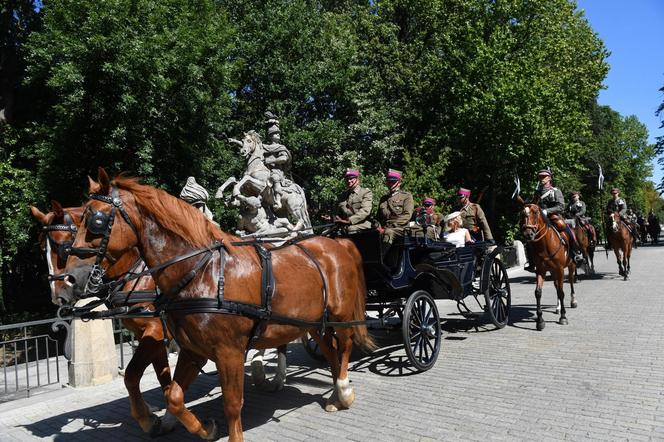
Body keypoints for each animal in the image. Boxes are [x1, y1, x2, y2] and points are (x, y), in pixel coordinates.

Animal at [29, 203, 178, 436]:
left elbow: (132, 374)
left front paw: (148, 417)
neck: (138, 275)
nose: (57, 296)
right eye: (42, 248)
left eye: (64, 248)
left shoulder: (156, 329)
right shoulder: (149, 335)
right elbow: (162, 375)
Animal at [55, 169, 374, 442]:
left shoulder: (228, 351)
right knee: (330, 350)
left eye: (96, 222)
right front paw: (203, 427)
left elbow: (232, 404)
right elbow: (172, 394)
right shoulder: (192, 349)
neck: (200, 273)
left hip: (340, 316)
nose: (68, 280)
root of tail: (338, 244)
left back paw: (344, 391)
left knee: (345, 346)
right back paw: (334, 396)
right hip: (313, 322)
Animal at [516, 199, 572, 330]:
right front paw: (540, 320)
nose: (528, 234)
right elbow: (538, 292)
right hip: (552, 271)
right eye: (521, 213)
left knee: (571, 282)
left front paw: (563, 317)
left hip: (570, 266)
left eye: (536, 212)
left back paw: (573, 301)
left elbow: (561, 292)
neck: (545, 245)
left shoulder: (560, 269)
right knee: (556, 285)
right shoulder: (541, 270)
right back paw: (557, 308)